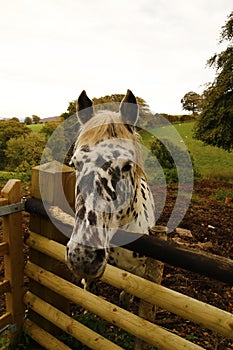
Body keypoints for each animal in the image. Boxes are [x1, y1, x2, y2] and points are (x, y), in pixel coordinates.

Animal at [65, 89, 164, 348]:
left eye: (127, 165)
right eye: (75, 163)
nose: (83, 256)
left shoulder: (138, 271)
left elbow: (128, 294)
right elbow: (89, 289)